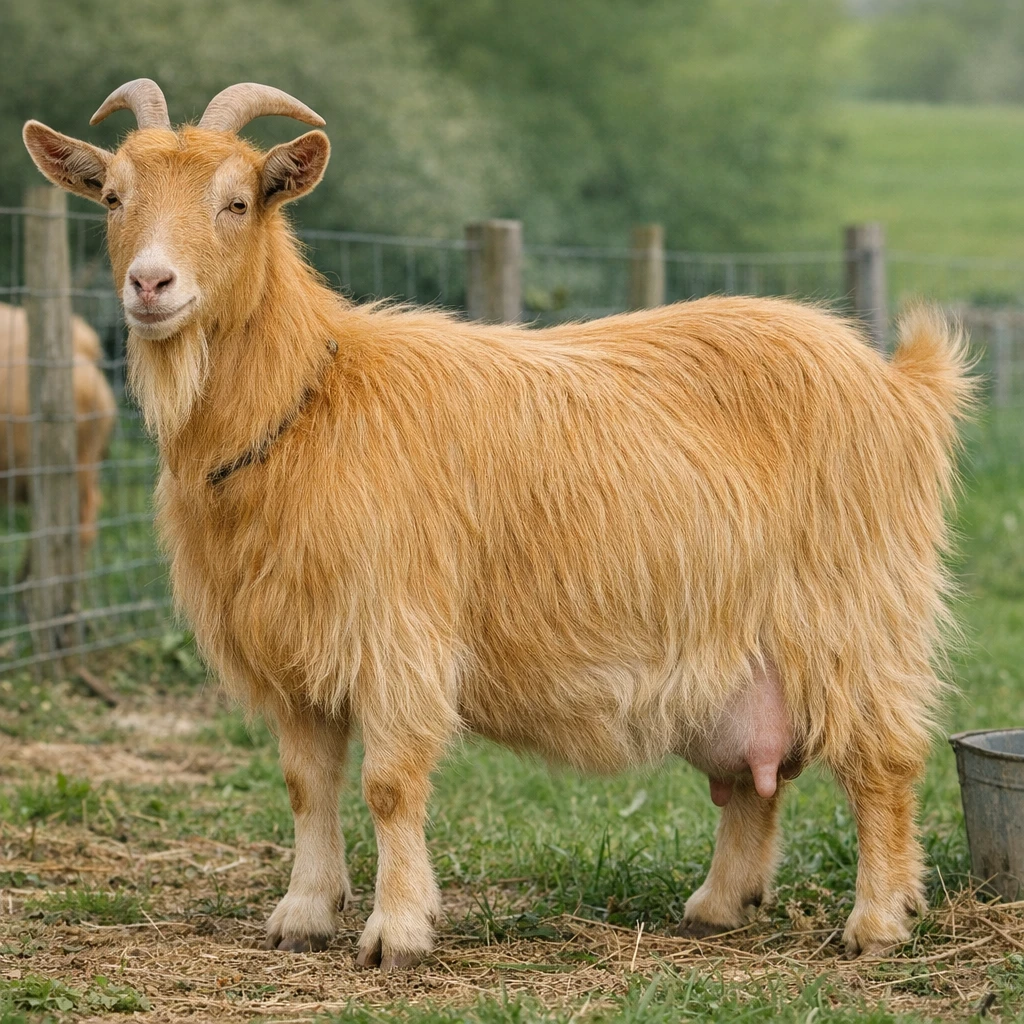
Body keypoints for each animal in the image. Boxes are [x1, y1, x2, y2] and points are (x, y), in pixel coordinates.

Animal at [24, 80, 972, 970]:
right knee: (754, 781)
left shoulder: (396, 631)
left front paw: (397, 930)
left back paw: (877, 920)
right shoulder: (291, 652)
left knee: (885, 760)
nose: (151, 284)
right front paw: (304, 912)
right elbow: (305, 784)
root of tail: (899, 381)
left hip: (857, 613)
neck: (308, 400)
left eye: (239, 201)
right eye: (112, 195)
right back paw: (717, 904)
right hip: (743, 652)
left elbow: (390, 785)